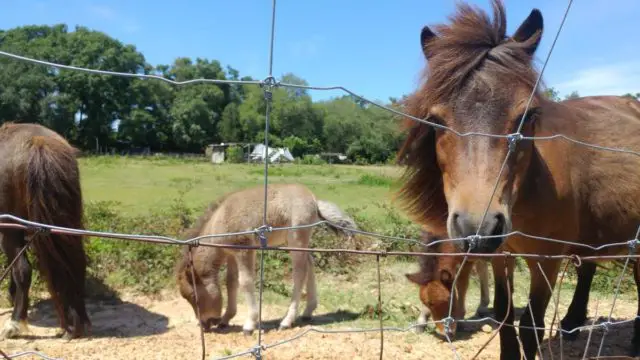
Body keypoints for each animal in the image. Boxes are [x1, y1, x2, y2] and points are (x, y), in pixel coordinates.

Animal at [175, 184, 358, 336]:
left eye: (193, 296)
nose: (204, 325)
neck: (221, 219)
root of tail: (314, 200)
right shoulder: (232, 254)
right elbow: (231, 282)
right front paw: (226, 319)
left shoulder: (245, 250)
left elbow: (246, 282)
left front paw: (249, 325)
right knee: (310, 263)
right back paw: (308, 312)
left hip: (296, 239)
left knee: (300, 272)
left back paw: (286, 321)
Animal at [398, 1, 640, 358]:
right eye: (436, 120)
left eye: (527, 115)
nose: (478, 226)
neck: (529, 189)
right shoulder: (502, 256)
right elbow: (504, 314)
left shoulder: (547, 261)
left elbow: (531, 324)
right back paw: (572, 323)